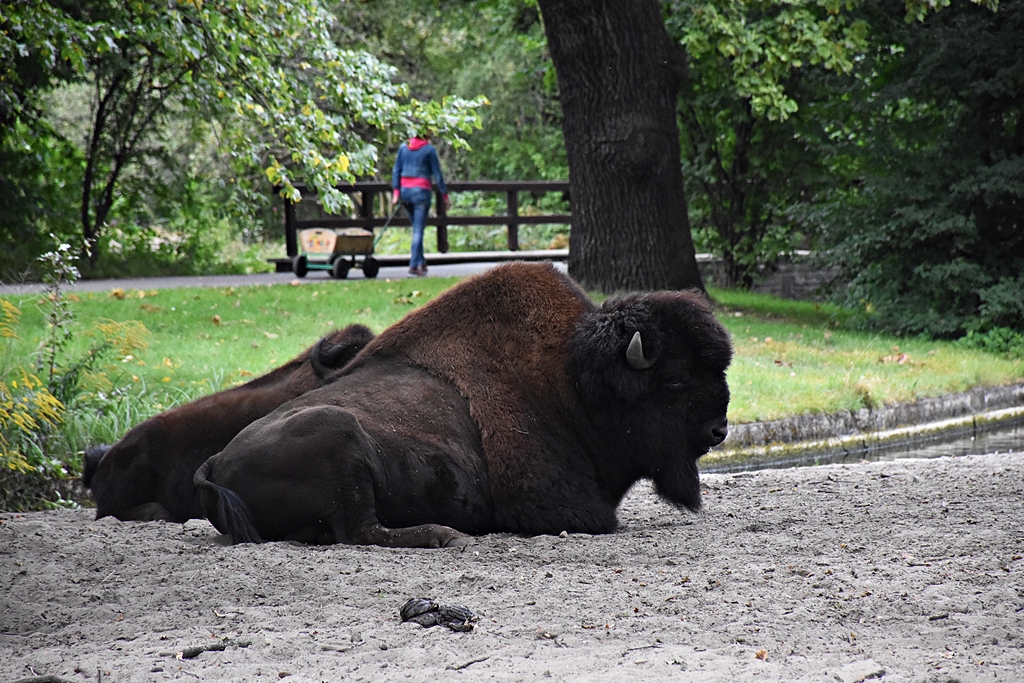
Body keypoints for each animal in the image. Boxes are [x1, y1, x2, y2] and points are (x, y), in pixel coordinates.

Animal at [195, 262, 732, 547]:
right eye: (676, 379)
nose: (718, 430)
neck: (572, 382)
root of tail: (216, 461)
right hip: (339, 434)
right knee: (363, 530)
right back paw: (444, 534)